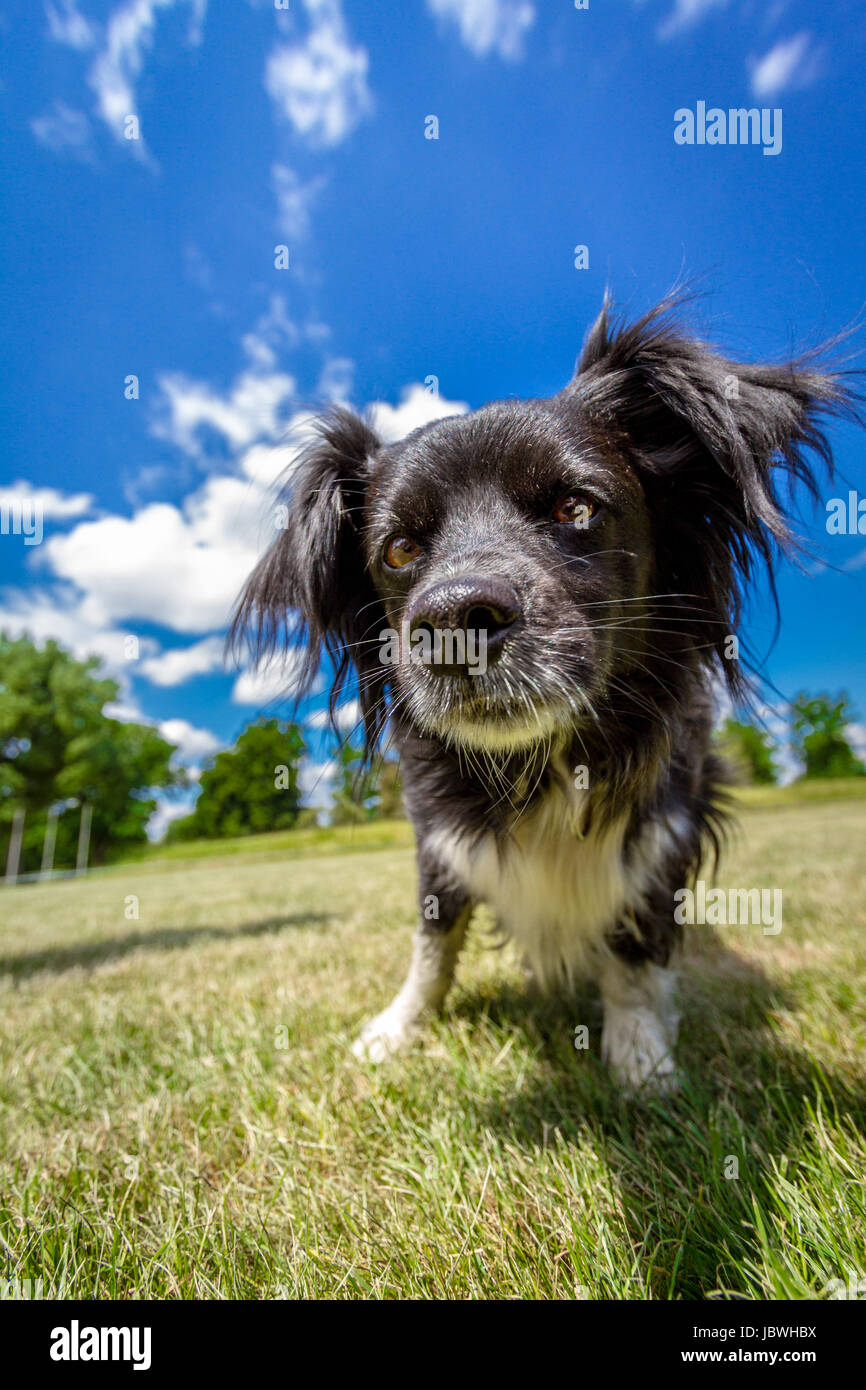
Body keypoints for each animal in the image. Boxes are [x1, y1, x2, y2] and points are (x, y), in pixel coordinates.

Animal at [232, 298, 856, 1089]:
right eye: (398, 550)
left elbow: (634, 940)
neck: (547, 760)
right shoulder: (438, 833)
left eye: (575, 507)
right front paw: (400, 1026)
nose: (453, 621)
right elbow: (433, 938)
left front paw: (641, 1054)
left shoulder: (666, 820)